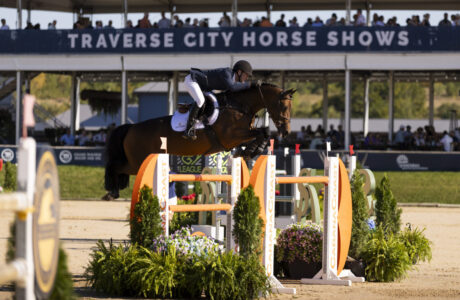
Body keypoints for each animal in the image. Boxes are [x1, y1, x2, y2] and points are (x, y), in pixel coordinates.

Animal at [103, 82, 294, 199]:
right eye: (283, 105)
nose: (286, 132)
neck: (239, 106)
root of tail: (131, 128)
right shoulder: (230, 136)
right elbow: (263, 131)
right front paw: (251, 150)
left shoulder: (238, 137)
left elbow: (263, 133)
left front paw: (251, 151)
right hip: (138, 161)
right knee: (115, 167)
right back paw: (111, 191)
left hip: (136, 162)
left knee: (120, 169)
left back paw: (112, 191)